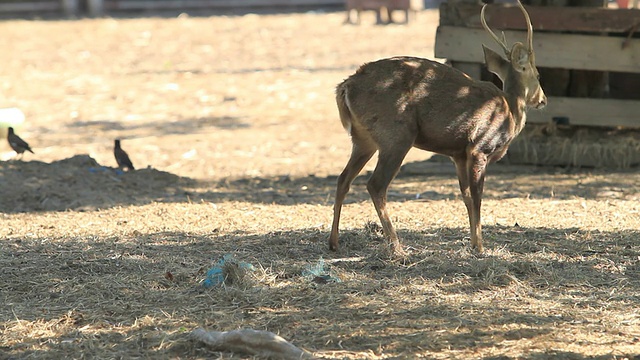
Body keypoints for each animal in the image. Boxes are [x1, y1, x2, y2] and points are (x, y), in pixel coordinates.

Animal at [330, 0, 544, 256]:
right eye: (538, 74)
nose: (543, 99)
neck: (510, 109)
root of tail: (345, 87)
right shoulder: (479, 147)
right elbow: (478, 197)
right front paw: (481, 247)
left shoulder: (458, 155)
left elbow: (466, 197)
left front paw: (473, 243)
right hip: (397, 135)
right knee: (376, 184)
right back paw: (397, 247)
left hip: (363, 139)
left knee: (343, 179)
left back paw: (333, 242)